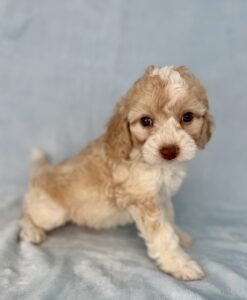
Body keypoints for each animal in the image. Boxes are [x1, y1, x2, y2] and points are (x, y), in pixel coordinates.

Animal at [19, 65, 213, 282]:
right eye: (146, 121)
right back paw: (31, 231)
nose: (169, 151)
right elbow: (163, 236)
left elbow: (169, 217)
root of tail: (43, 171)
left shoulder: (160, 196)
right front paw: (179, 264)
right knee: (25, 213)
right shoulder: (143, 200)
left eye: (187, 117)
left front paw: (179, 235)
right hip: (51, 212)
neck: (156, 165)